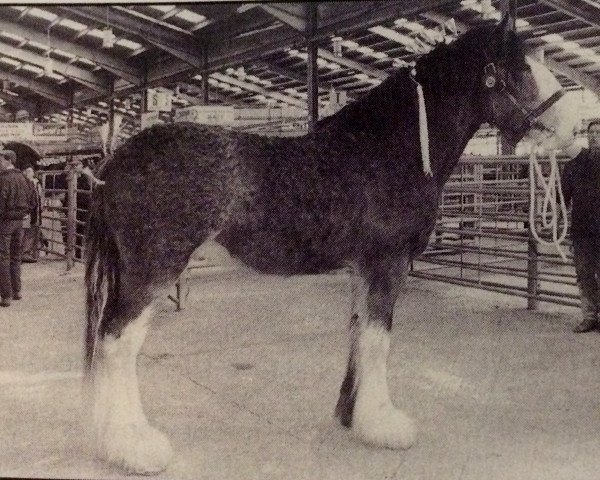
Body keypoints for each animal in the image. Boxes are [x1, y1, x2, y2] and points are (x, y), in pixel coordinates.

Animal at [84, 16, 580, 474]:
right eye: (520, 70)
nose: (575, 129)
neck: (388, 148)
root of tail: (114, 162)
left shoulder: (362, 267)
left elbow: (359, 331)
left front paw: (350, 414)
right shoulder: (386, 263)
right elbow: (379, 339)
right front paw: (384, 424)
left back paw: (110, 442)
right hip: (153, 270)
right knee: (118, 341)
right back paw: (136, 446)